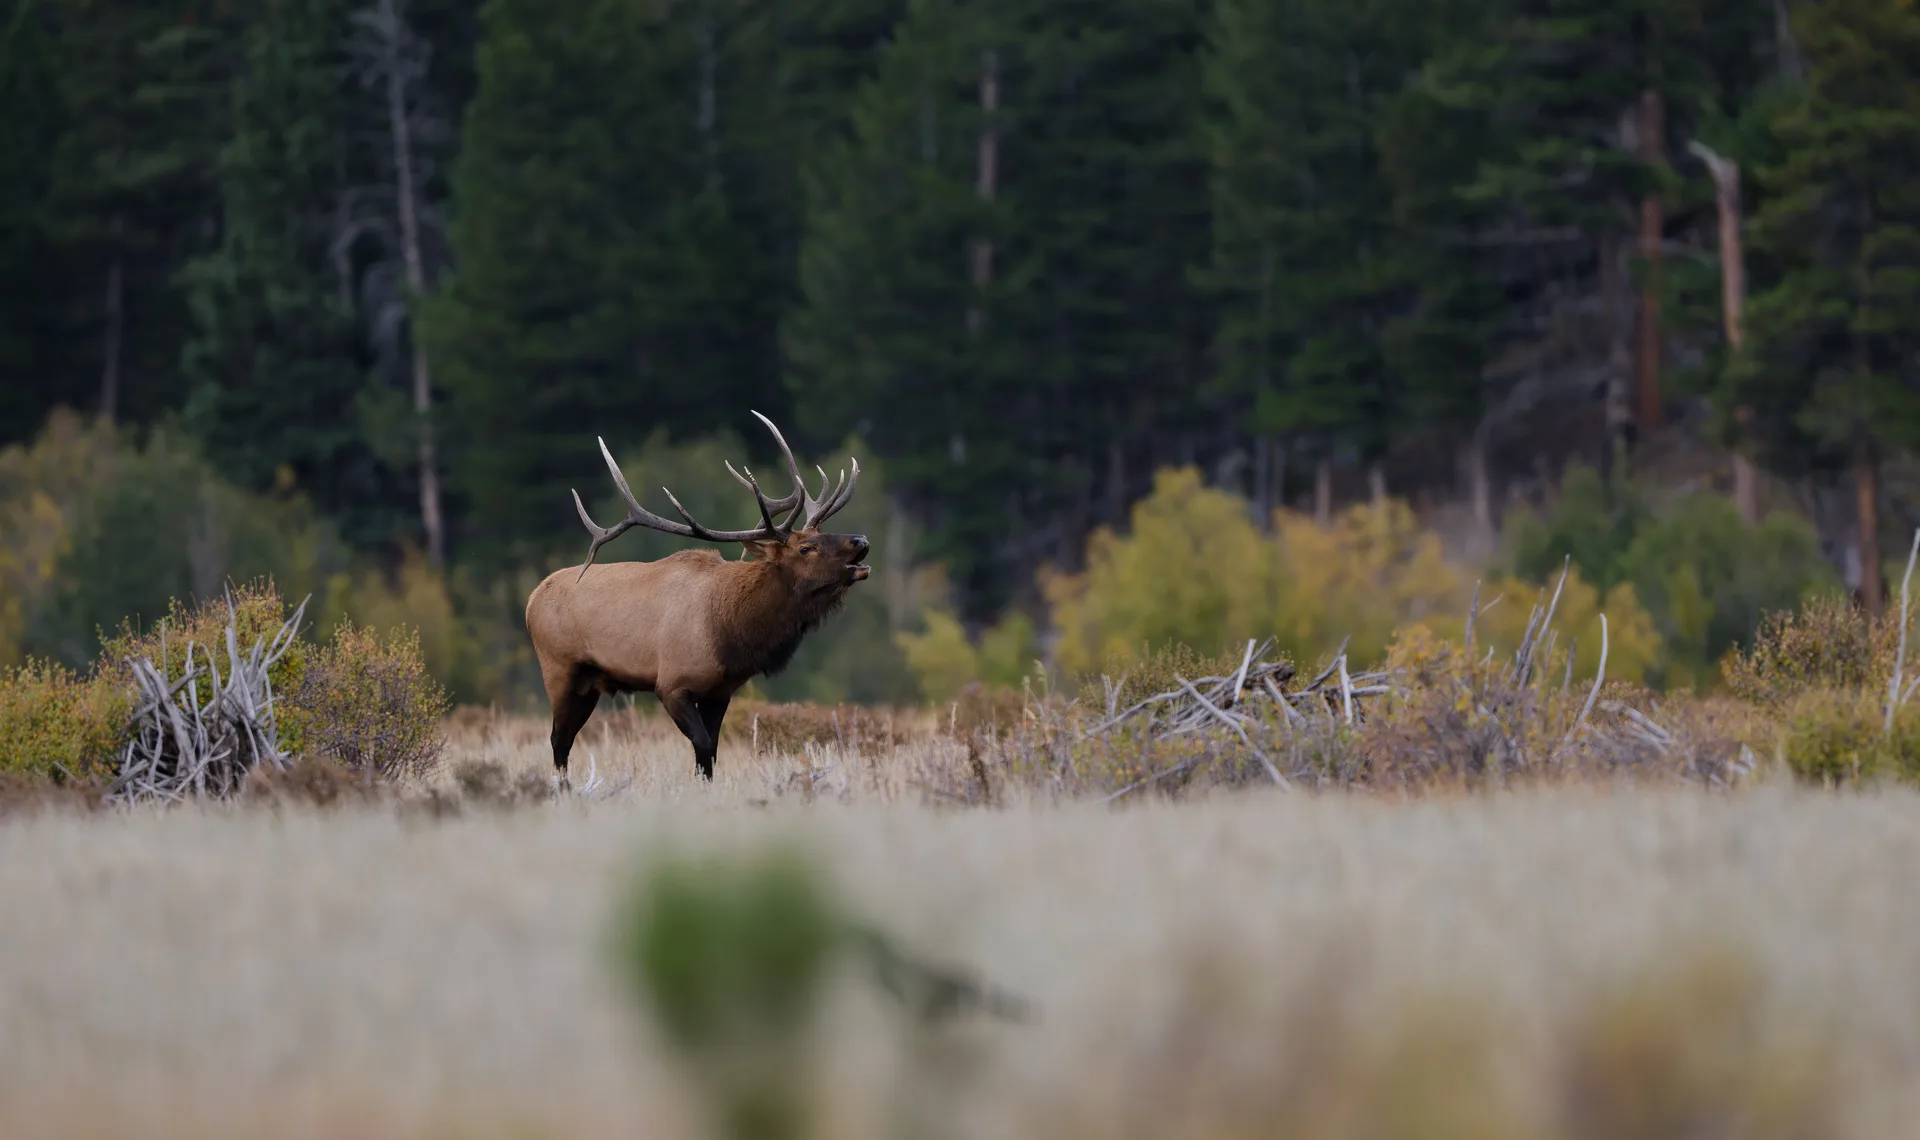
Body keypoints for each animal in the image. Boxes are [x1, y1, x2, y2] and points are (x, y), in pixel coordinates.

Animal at [524, 412, 870, 788]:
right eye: (806, 548)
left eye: (821, 533)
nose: (861, 540)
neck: (729, 631)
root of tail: (532, 598)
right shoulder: (672, 684)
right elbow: (702, 747)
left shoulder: (720, 691)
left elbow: (712, 754)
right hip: (559, 668)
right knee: (559, 739)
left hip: (588, 684)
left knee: (565, 738)